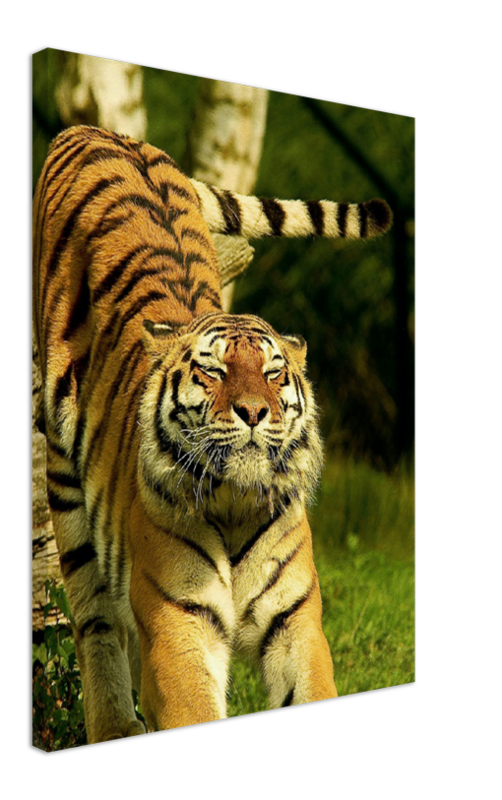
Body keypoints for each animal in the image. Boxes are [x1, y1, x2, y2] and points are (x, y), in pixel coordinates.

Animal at [32, 124, 392, 744]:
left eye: (273, 374)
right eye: (215, 372)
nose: (253, 411)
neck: (235, 504)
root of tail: (95, 131)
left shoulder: (297, 623)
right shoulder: (181, 625)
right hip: (63, 479)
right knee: (95, 619)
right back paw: (114, 725)